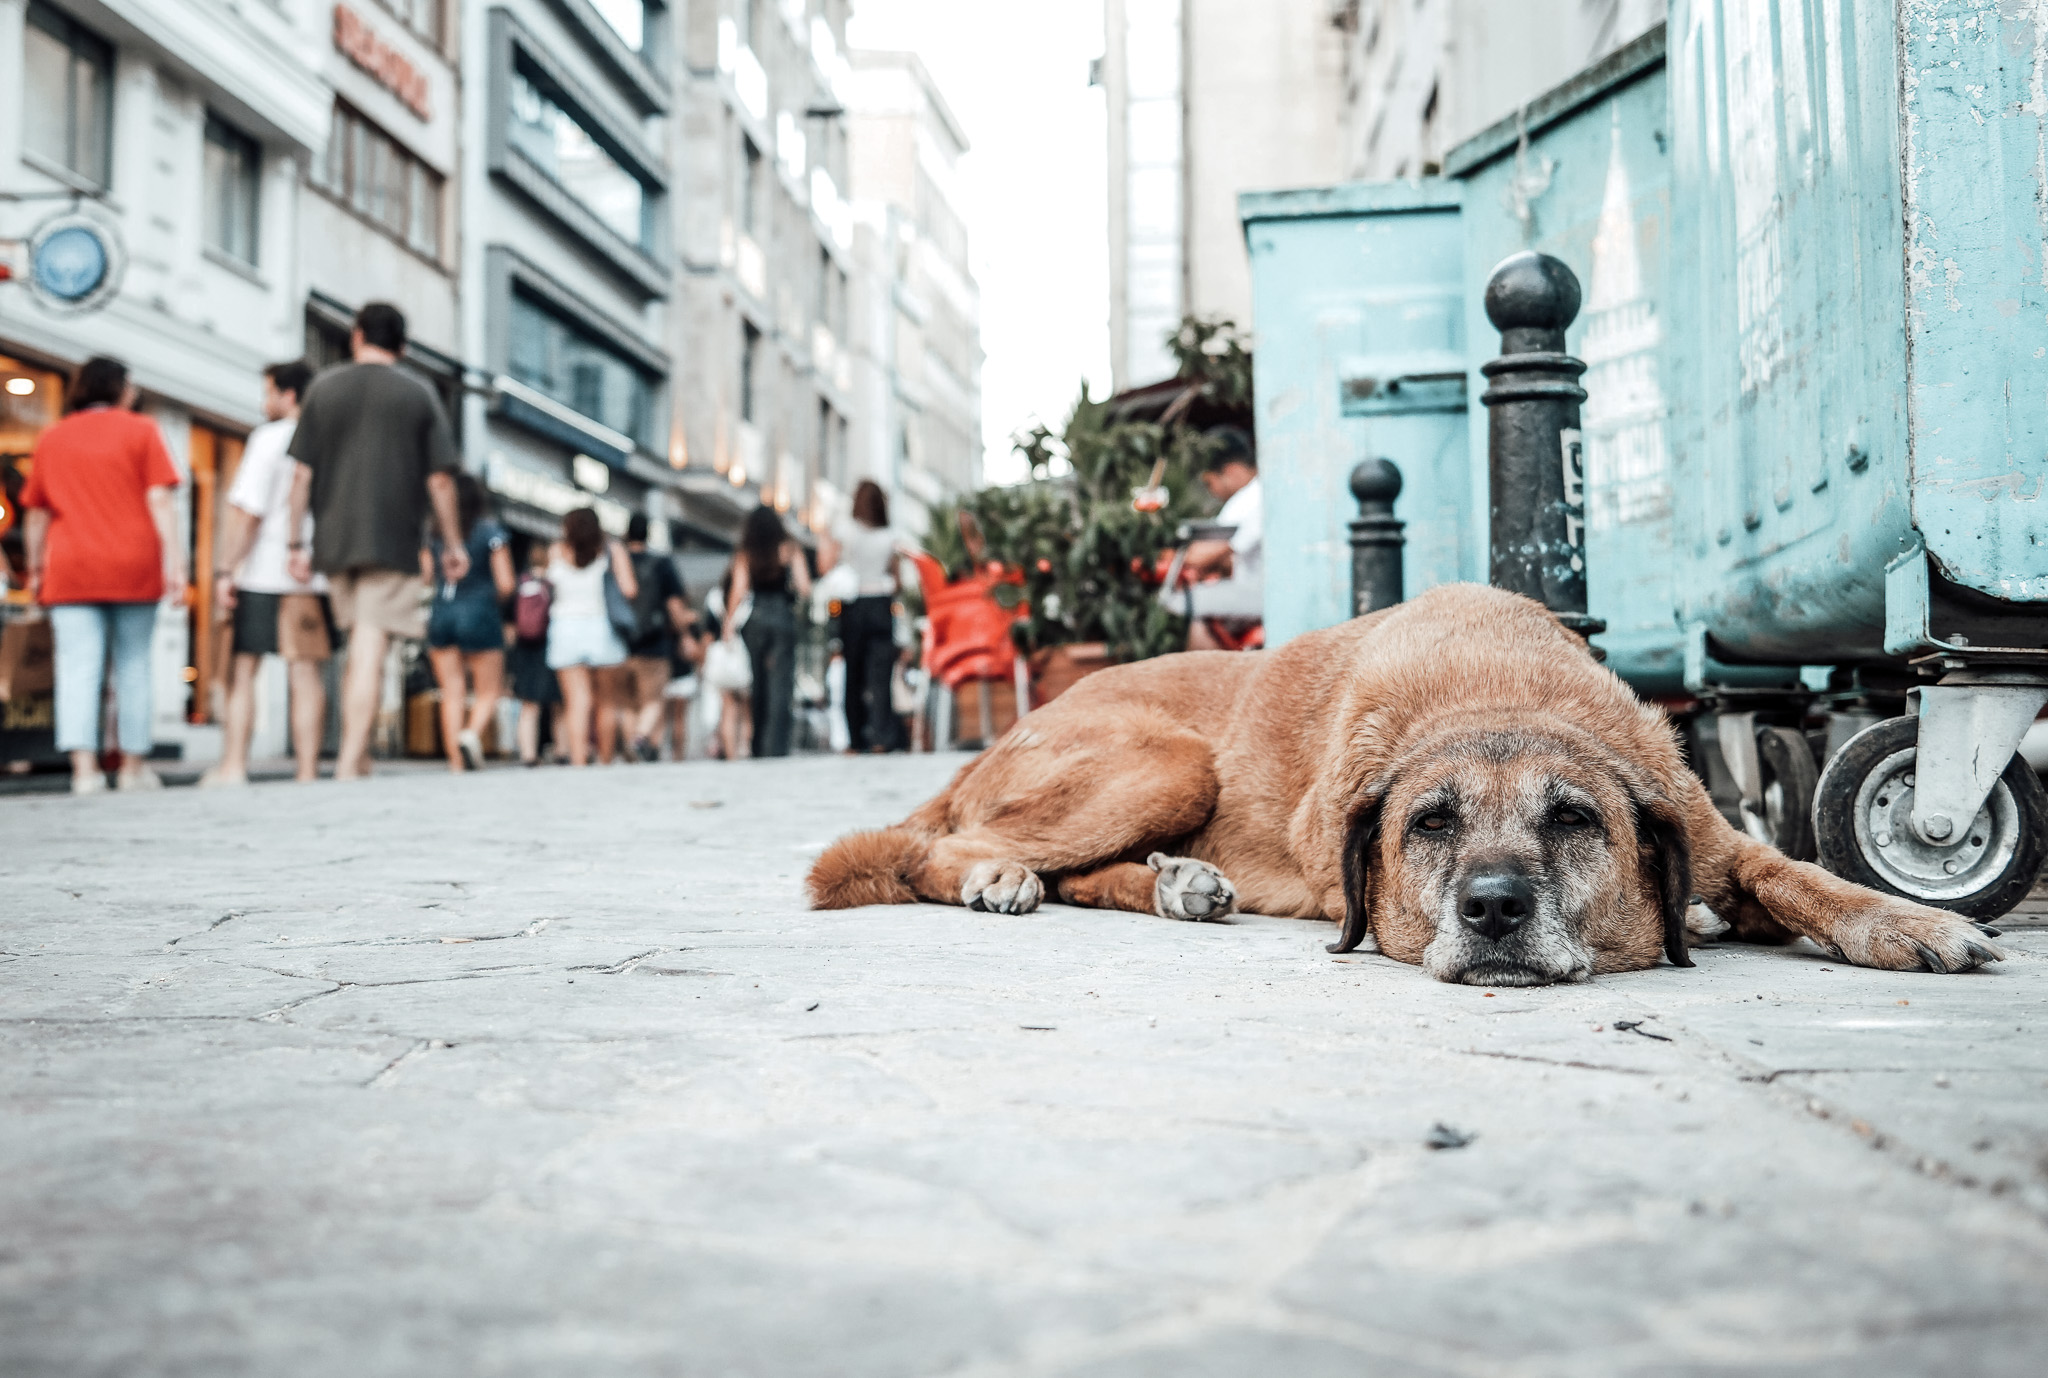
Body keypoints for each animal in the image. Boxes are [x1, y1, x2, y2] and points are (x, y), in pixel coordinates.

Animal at [806, 585, 2007, 982]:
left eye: (1575, 819)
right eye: (1429, 824)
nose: (1493, 911)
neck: (1493, 694)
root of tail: (998, 737)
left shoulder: (1721, 840)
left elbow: (1805, 875)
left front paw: (1903, 920)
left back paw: (1175, 883)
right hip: (1167, 759)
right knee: (942, 850)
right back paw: (998, 876)